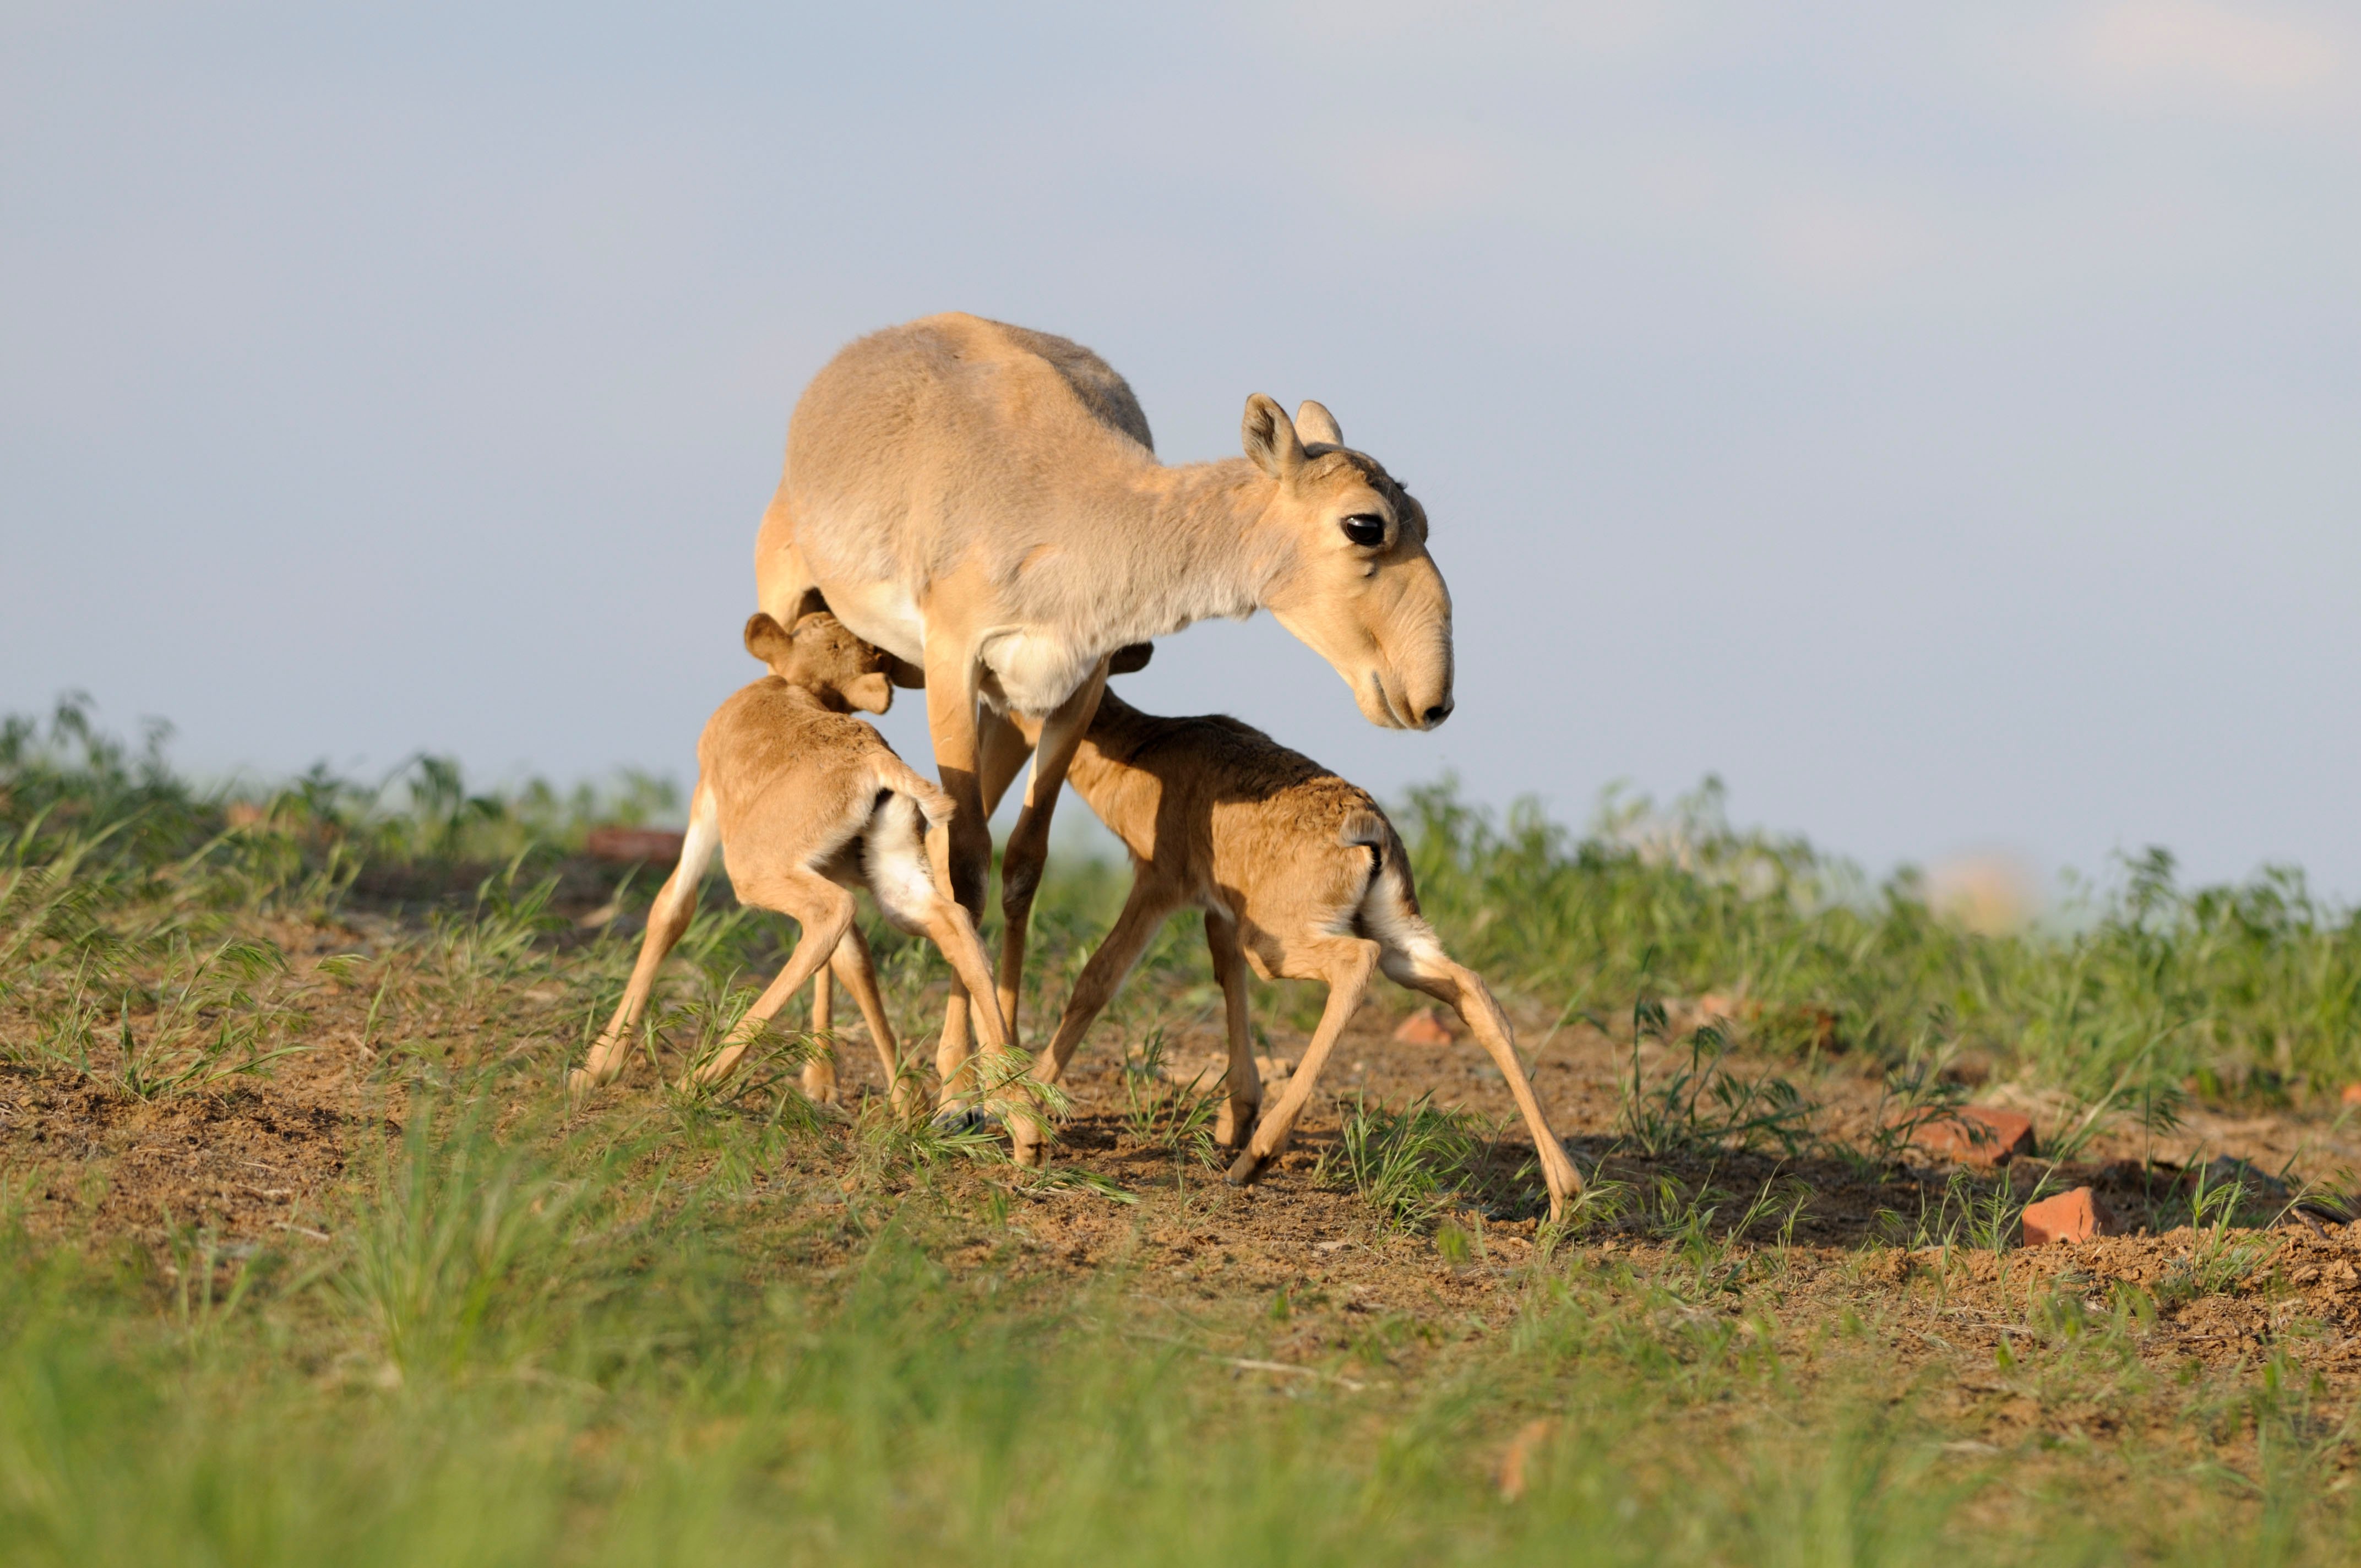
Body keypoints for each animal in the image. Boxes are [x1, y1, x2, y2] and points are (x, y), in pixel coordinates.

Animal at [573, 605, 1024, 1109]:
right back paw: (1019, 1111)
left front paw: (597, 1067)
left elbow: (671, 909)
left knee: (833, 913)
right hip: (896, 881)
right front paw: (906, 1100)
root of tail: (875, 760)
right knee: (953, 926)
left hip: (755, 870)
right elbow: (854, 960)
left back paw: (701, 1079)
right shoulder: (828, 868)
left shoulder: (705, 796)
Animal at [755, 312, 1454, 1086]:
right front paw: (960, 1079)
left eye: (1423, 516)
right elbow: (965, 869)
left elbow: (1022, 864)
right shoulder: (952, 665)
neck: (1068, 508)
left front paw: (1002, 1066)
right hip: (791, 614)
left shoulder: (1070, 690)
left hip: (1003, 712)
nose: (1433, 700)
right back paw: (819, 1075)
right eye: (1365, 524)